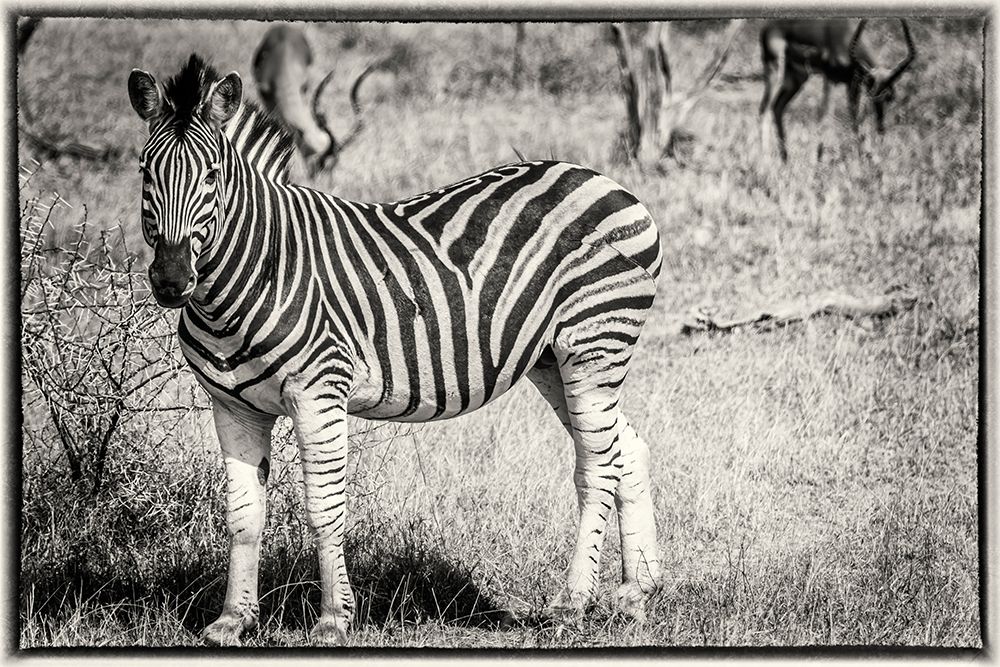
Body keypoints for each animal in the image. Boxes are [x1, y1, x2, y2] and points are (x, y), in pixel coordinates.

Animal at [127, 53, 664, 646]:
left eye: (213, 176)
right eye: (144, 173)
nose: (171, 281)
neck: (251, 275)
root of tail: (607, 182)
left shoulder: (319, 392)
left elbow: (325, 509)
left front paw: (334, 621)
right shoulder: (232, 406)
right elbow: (243, 515)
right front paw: (231, 621)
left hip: (594, 343)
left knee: (598, 468)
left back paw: (571, 604)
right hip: (553, 360)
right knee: (627, 449)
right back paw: (635, 595)